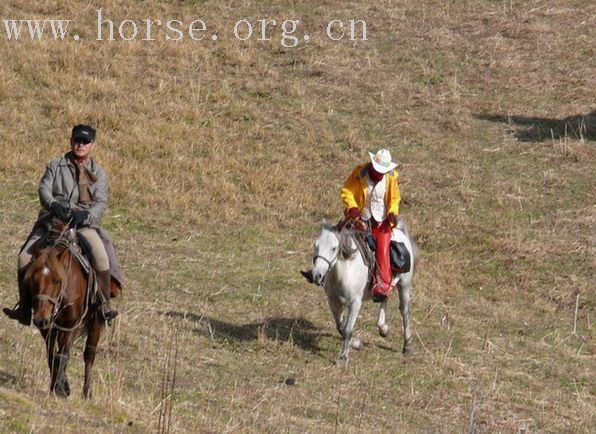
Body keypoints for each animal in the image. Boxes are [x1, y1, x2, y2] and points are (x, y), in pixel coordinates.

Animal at [23, 225, 119, 398]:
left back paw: (87, 392)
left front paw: (61, 389)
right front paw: (58, 385)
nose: (40, 319)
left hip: (96, 321)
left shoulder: (71, 324)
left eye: (57, 280)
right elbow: (52, 354)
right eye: (32, 278)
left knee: (89, 354)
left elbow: (62, 355)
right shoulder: (49, 327)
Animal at [312, 220, 414, 366]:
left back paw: (407, 344)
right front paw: (356, 343)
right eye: (316, 245)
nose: (317, 275)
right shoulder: (333, 302)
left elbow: (348, 329)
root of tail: (400, 231)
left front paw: (343, 358)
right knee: (384, 298)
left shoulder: (355, 303)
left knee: (404, 311)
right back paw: (383, 328)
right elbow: (340, 326)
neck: (344, 273)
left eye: (333, 248)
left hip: (404, 285)